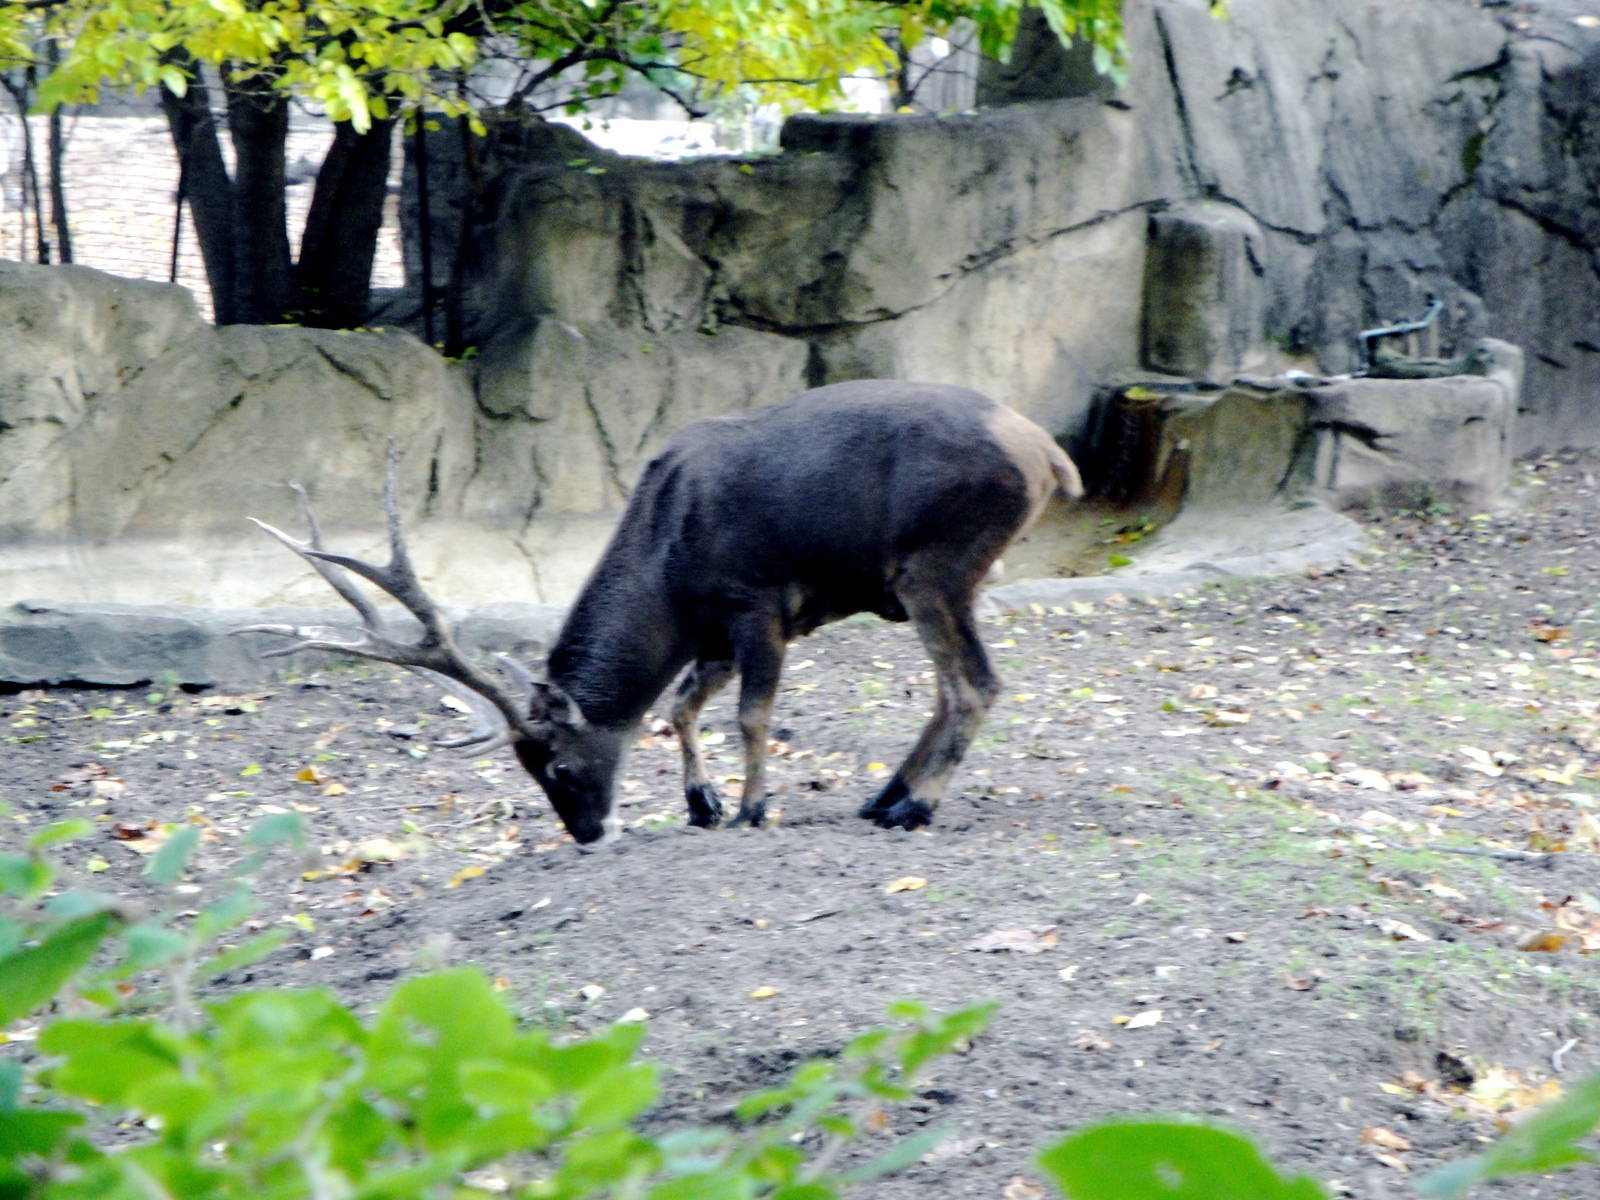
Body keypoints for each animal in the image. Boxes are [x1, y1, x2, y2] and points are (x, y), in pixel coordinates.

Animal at [238, 380, 1083, 845]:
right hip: (933, 580)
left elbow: (751, 715)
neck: (667, 576)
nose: (587, 833)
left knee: (975, 683)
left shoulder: (759, 602)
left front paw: (750, 809)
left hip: (934, 565)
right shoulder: (714, 629)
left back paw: (915, 808)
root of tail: (1051, 458)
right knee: (950, 686)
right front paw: (701, 802)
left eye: (557, 763)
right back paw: (885, 797)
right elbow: (679, 706)